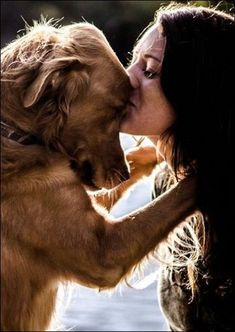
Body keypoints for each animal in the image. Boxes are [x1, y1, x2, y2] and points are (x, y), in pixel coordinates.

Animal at [0, 20, 196, 330]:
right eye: (118, 110)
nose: (122, 174)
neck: (19, 135)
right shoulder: (103, 252)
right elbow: (178, 195)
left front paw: (152, 152)